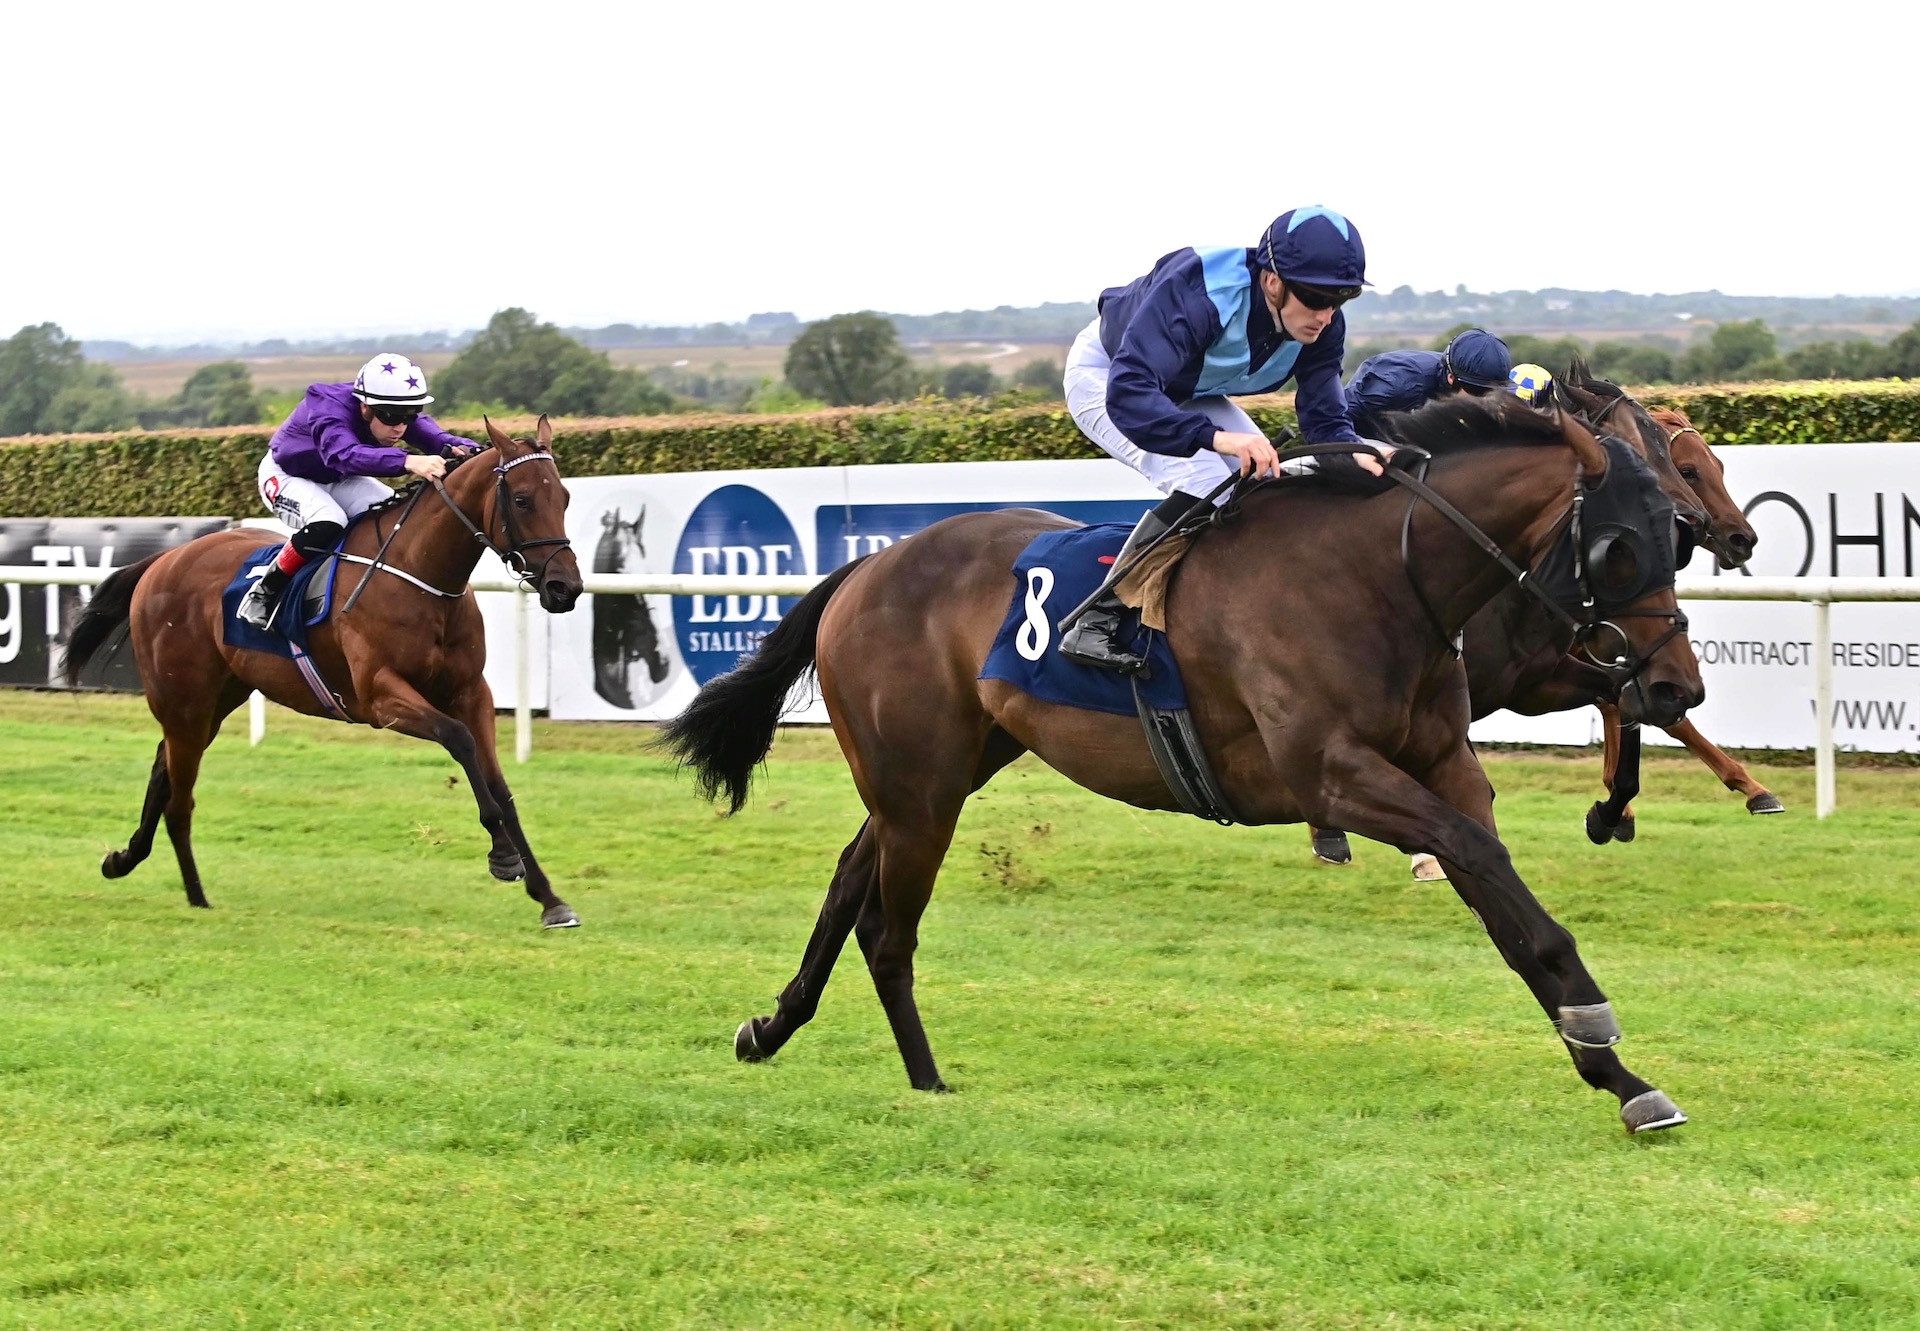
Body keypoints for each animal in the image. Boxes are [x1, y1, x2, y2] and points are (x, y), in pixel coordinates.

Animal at [61, 414, 583, 925]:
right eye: (521, 499)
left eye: (564, 497)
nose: (566, 587)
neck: (421, 576)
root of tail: (163, 559)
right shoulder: (380, 696)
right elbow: (459, 740)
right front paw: (504, 858)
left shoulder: (471, 692)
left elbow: (500, 786)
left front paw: (549, 898)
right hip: (184, 700)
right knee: (180, 796)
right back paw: (195, 895)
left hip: (214, 698)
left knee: (162, 769)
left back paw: (125, 860)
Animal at [668, 393, 1704, 1129]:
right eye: (1619, 548)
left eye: (1678, 540)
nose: (1673, 687)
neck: (1380, 577)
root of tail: (865, 569)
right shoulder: (1332, 774)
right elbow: (1479, 859)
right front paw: (1599, 1031)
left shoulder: (1445, 765)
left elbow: (1512, 910)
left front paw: (1618, 1072)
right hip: (920, 786)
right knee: (888, 926)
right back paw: (926, 1079)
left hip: (943, 768)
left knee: (852, 874)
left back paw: (770, 1027)